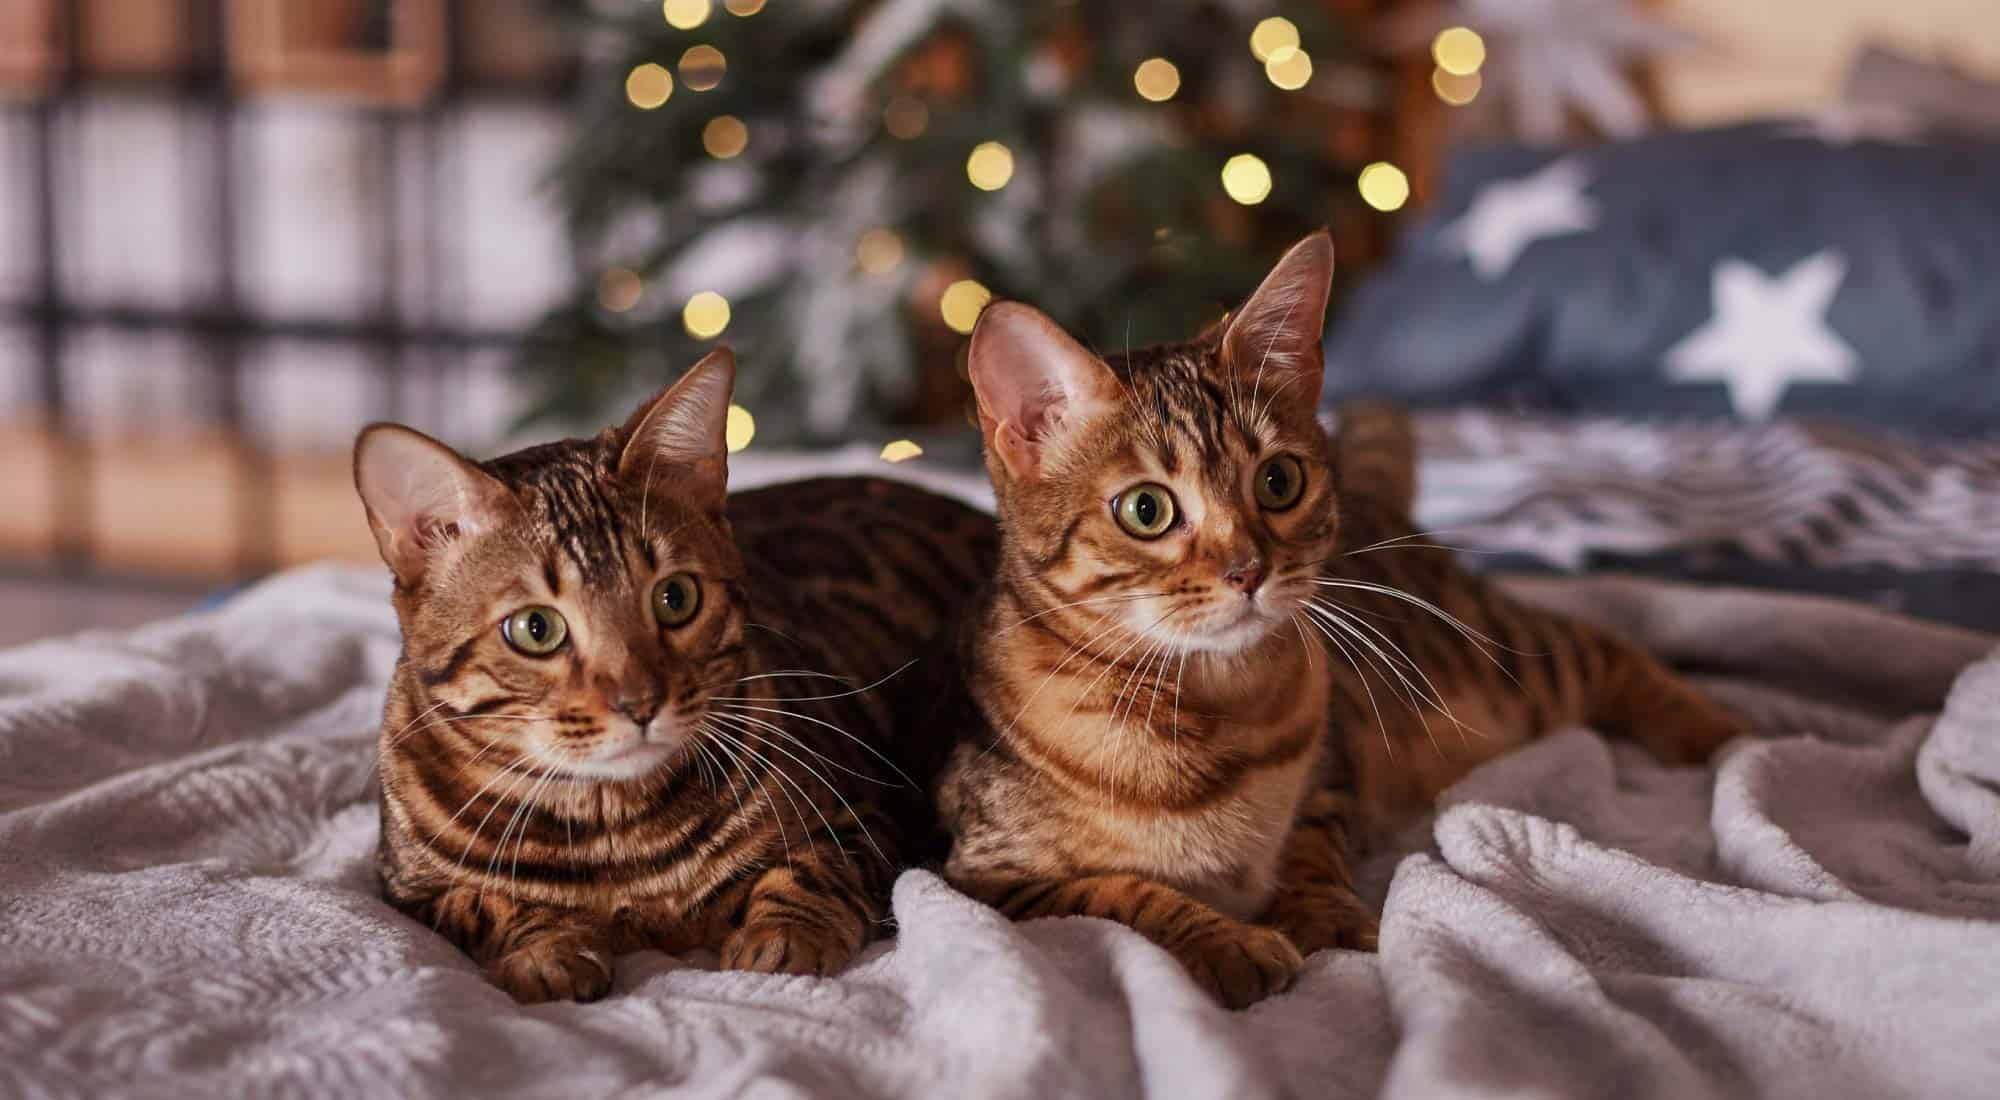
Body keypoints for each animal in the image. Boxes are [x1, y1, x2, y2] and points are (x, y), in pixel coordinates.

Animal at [356, 350, 996, 1004]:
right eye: (536, 629)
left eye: (676, 598)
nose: (640, 703)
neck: (616, 835)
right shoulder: (409, 891)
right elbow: (486, 900)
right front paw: (547, 946)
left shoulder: (863, 823)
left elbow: (812, 871)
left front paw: (786, 934)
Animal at [928, 233, 1744, 1008]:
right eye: (1146, 509)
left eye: (1278, 481)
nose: (1248, 570)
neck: (1212, 709)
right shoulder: (985, 876)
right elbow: (1117, 893)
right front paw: (1226, 941)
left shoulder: (1332, 773)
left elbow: (1311, 849)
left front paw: (1319, 916)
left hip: (1502, 661)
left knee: (1605, 648)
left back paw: (1727, 739)